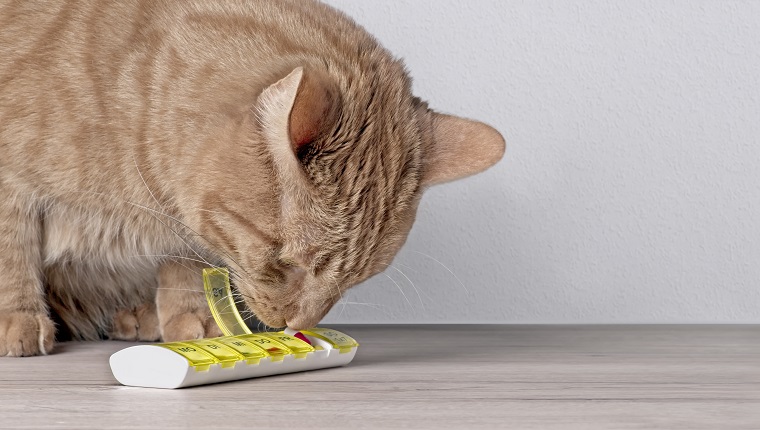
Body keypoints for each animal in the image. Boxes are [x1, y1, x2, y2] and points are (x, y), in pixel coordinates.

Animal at [2, 0, 508, 356]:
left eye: (354, 280)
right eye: (285, 263)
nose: (296, 327)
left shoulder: (184, 233)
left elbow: (183, 265)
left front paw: (193, 319)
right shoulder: (10, 190)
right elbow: (13, 253)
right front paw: (15, 319)